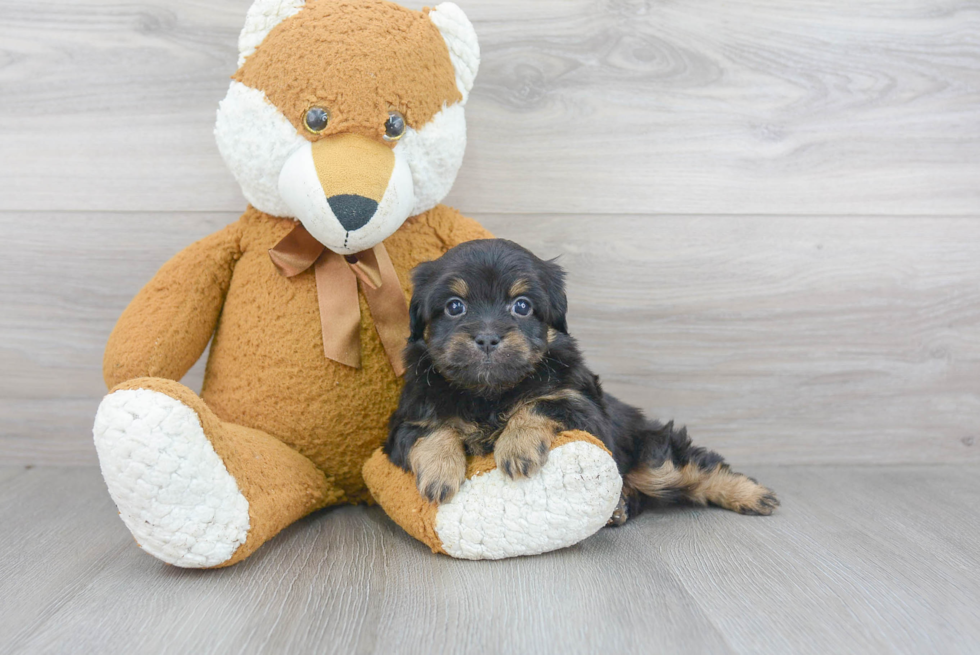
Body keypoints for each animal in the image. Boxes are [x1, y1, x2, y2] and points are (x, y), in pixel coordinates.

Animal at [386, 237, 776, 524]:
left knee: (688, 468)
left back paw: (751, 494)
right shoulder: (404, 423)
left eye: (522, 306)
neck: (489, 394)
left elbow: (540, 403)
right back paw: (620, 507)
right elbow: (432, 430)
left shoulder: (583, 407)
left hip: (649, 455)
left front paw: (517, 445)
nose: (486, 338)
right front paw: (440, 471)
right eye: (455, 307)